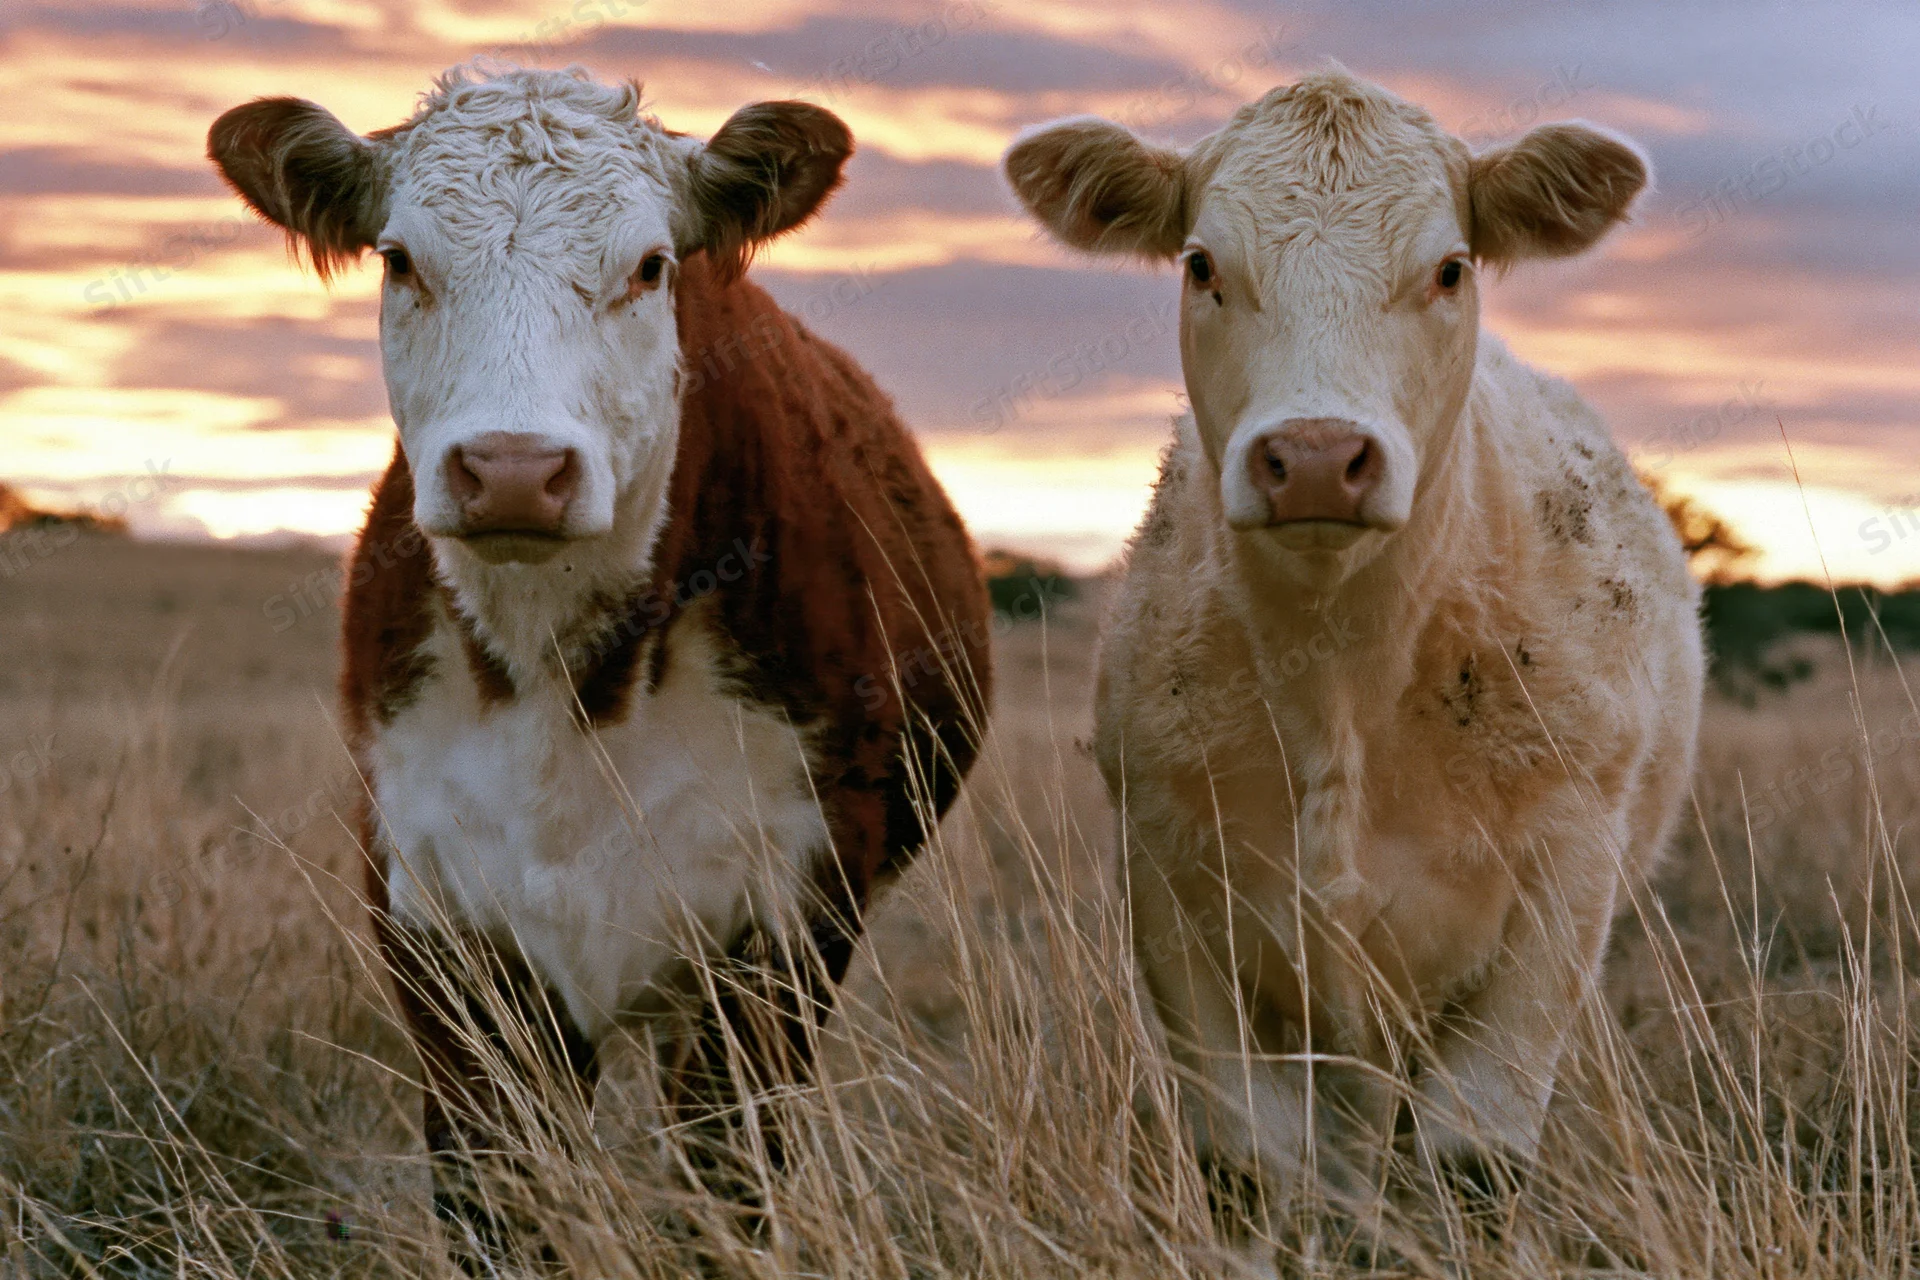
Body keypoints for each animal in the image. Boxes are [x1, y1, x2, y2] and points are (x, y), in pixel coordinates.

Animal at [208, 66, 991, 1260]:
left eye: (651, 264)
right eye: (400, 259)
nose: (512, 468)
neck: (557, 677)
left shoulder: (782, 920)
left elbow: (727, 1191)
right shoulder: (437, 921)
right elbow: (497, 1201)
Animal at [1005, 68, 1702, 1255]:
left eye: (1450, 267)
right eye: (1202, 264)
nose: (1320, 458)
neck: (1343, 683)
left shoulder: (1566, 880)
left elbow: (1473, 1160)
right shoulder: (1171, 882)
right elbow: (1249, 1163)